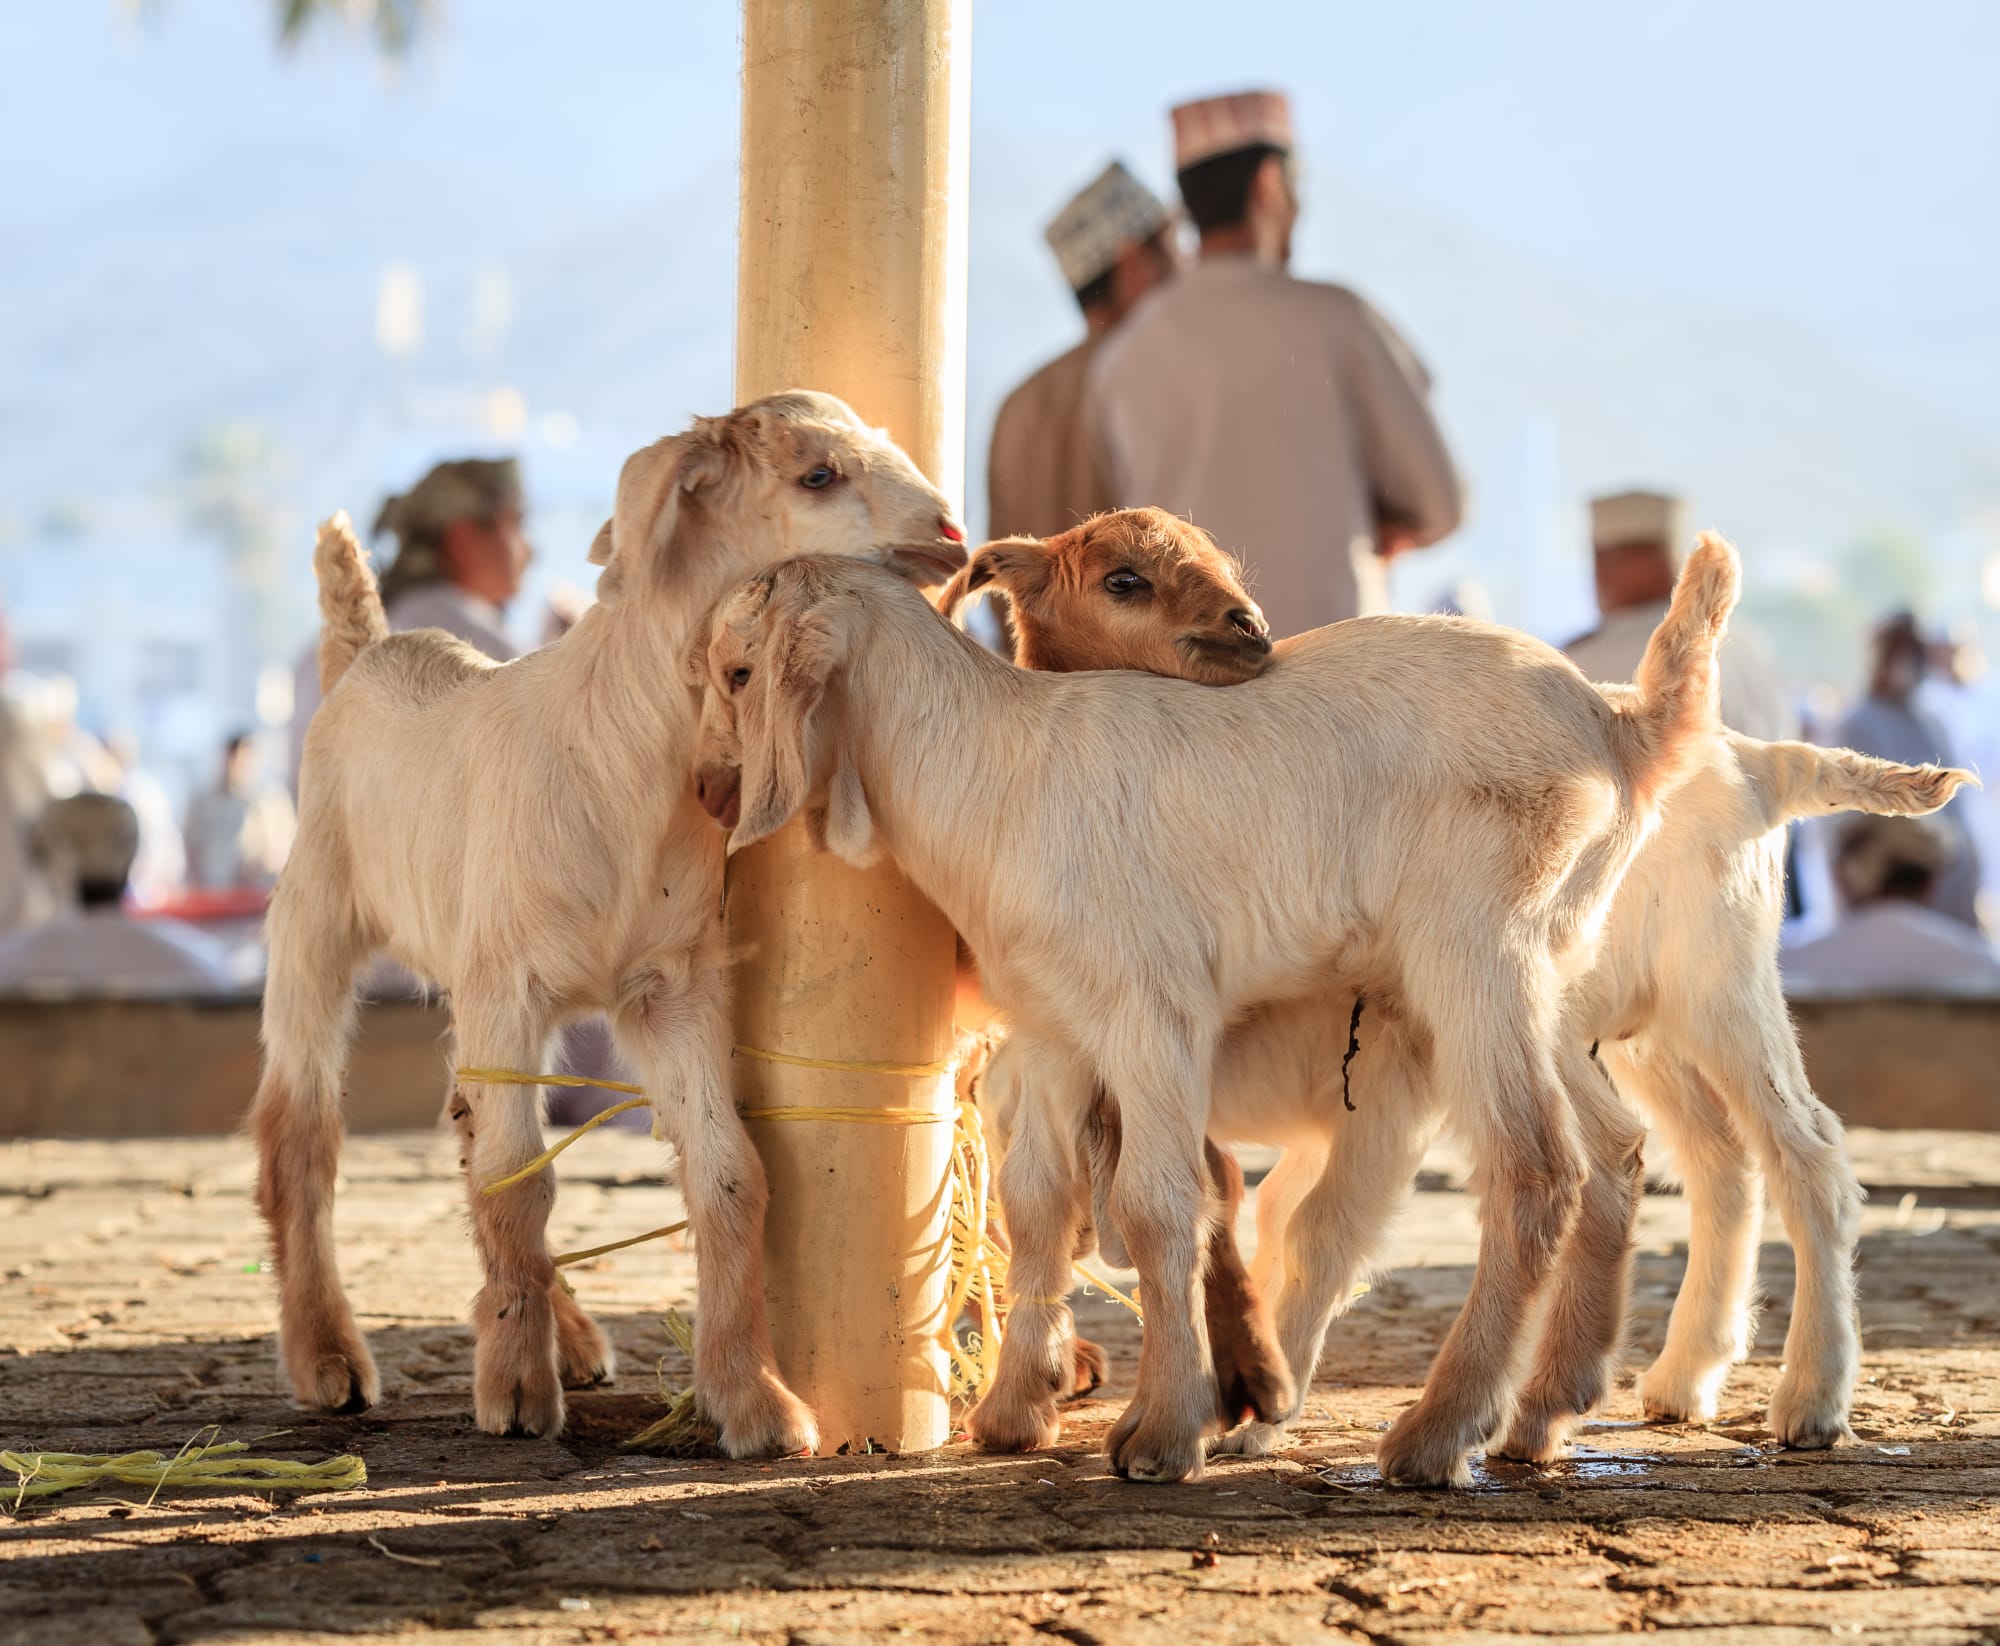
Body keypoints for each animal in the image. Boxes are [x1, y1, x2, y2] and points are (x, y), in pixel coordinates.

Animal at [253, 392, 966, 1451]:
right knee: (301, 1133)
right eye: (819, 474)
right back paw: (329, 1356)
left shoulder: (668, 985)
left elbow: (729, 1175)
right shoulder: (507, 984)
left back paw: (570, 1334)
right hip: (315, 920)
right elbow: (519, 1181)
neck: (620, 748)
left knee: (463, 1125)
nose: (952, 533)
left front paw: (755, 1400)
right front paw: (513, 1389)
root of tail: (368, 649)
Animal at [688, 537, 1733, 1484]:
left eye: (738, 671)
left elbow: (1155, 1205)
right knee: (1613, 1149)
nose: (707, 791)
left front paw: (1162, 1431)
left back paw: (1439, 1433)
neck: (995, 762)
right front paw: (1015, 1410)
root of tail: (1620, 723)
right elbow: (1040, 1206)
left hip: (1477, 949)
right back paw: (1545, 1410)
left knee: (1537, 1164)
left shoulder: (1151, 1008)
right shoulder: (1052, 1030)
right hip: (1551, 967)